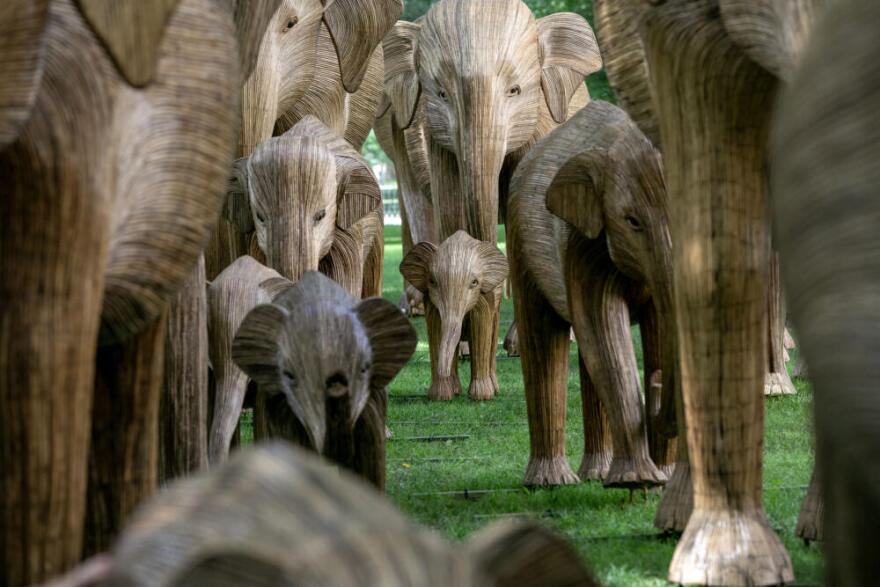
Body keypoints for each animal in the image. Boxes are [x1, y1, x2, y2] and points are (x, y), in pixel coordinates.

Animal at [400, 231, 509, 401]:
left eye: (474, 282)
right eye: (432, 281)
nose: (442, 371)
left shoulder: (484, 299)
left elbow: (481, 331)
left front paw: (481, 397)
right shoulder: (430, 302)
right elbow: (436, 331)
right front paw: (441, 396)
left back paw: (494, 390)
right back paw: (456, 390)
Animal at [507, 100, 675, 489]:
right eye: (632, 221)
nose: (657, 384)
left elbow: (659, 329)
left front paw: (666, 477)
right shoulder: (583, 245)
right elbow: (603, 330)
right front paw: (637, 481)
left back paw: (595, 473)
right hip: (520, 240)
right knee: (544, 338)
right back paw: (551, 482)